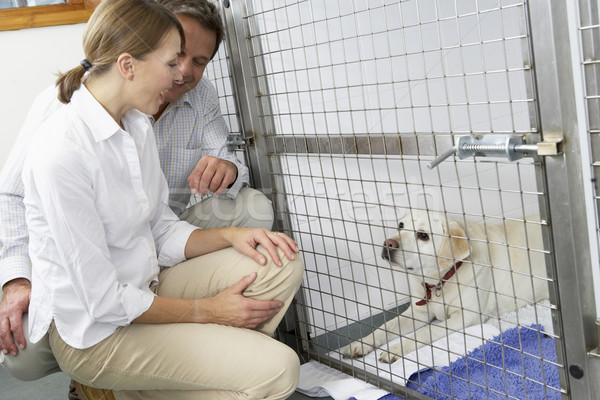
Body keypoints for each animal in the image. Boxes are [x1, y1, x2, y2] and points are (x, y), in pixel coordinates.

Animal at [342, 211, 548, 364]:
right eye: (400, 225)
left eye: (423, 235)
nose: (388, 244)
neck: (440, 282)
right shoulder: (417, 313)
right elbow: (385, 326)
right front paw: (361, 343)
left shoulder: (465, 317)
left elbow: (426, 332)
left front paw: (395, 349)